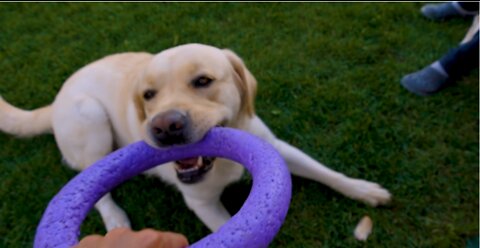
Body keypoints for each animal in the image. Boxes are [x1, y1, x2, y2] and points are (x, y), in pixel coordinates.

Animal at [0, 43, 390, 232]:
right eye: (148, 95)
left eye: (203, 81)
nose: (163, 126)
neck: (224, 162)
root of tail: (54, 101)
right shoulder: (202, 203)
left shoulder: (276, 148)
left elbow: (325, 172)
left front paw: (366, 190)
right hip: (89, 116)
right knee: (95, 188)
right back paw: (115, 220)